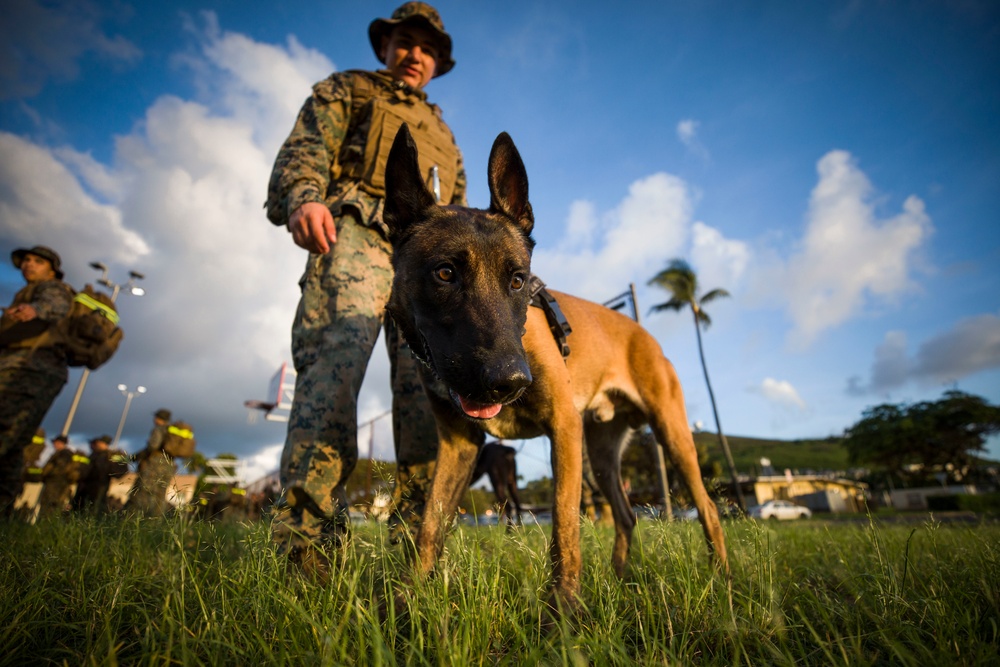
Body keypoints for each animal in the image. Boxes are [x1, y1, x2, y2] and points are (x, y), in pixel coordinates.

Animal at [382, 122, 728, 612]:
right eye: (445, 273)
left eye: (518, 279)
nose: (509, 382)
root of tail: (645, 334)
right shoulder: (459, 444)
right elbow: (430, 525)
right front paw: (405, 600)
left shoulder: (563, 427)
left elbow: (565, 526)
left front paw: (563, 612)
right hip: (601, 455)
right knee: (626, 516)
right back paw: (620, 581)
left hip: (671, 434)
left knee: (707, 508)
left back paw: (724, 582)